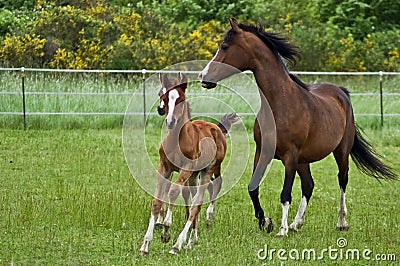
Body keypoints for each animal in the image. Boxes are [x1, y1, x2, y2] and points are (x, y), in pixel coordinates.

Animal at [141, 73, 241, 256]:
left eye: (181, 99)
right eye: (164, 98)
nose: (170, 121)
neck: (177, 139)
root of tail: (217, 128)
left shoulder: (186, 168)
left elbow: (173, 191)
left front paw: (166, 230)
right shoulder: (164, 167)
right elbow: (157, 200)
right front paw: (145, 245)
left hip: (208, 170)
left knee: (198, 202)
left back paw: (178, 244)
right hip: (195, 174)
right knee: (193, 200)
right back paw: (191, 240)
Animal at [198, 17, 396, 236]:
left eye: (224, 46)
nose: (203, 77)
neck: (280, 104)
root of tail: (341, 93)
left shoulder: (290, 156)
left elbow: (285, 194)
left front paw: (281, 229)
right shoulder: (263, 152)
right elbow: (253, 188)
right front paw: (266, 222)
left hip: (340, 152)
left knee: (342, 180)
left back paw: (340, 222)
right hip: (303, 160)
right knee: (309, 185)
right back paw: (296, 223)